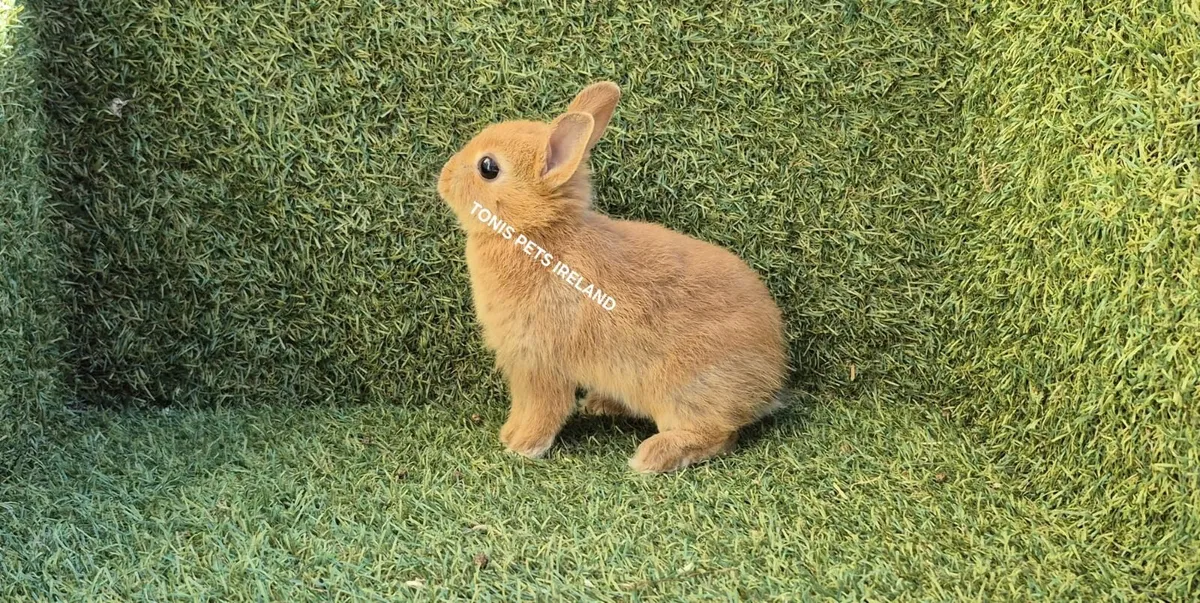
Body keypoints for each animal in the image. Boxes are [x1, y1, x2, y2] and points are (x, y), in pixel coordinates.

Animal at [436, 81, 788, 473]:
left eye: (488, 167)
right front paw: (510, 436)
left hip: (685, 389)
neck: (536, 234)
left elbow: (543, 408)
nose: (443, 177)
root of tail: (772, 374)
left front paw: (521, 445)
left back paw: (652, 456)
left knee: (719, 436)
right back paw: (602, 405)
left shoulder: (540, 364)